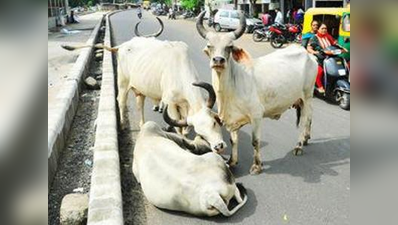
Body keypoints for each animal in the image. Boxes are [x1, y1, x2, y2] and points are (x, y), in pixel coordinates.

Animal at [196, 11, 318, 175]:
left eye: (229, 47)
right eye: (210, 46)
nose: (218, 60)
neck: (231, 88)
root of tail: (308, 54)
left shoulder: (256, 115)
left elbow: (255, 141)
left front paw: (257, 166)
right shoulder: (232, 120)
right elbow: (233, 140)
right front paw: (232, 161)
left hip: (307, 95)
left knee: (305, 119)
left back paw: (299, 146)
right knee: (310, 117)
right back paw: (305, 138)